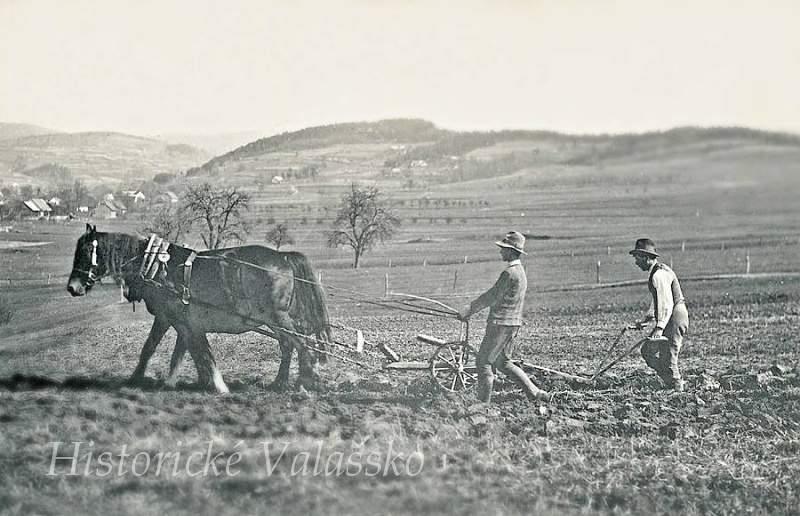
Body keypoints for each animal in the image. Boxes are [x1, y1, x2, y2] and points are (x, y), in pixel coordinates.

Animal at [66, 224, 332, 394]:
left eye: (87, 252)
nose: (72, 287)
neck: (157, 269)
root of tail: (284, 257)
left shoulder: (171, 319)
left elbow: (171, 349)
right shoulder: (180, 321)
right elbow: (181, 351)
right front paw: (178, 382)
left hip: (278, 317)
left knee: (302, 343)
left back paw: (306, 382)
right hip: (273, 320)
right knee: (289, 345)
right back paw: (282, 382)